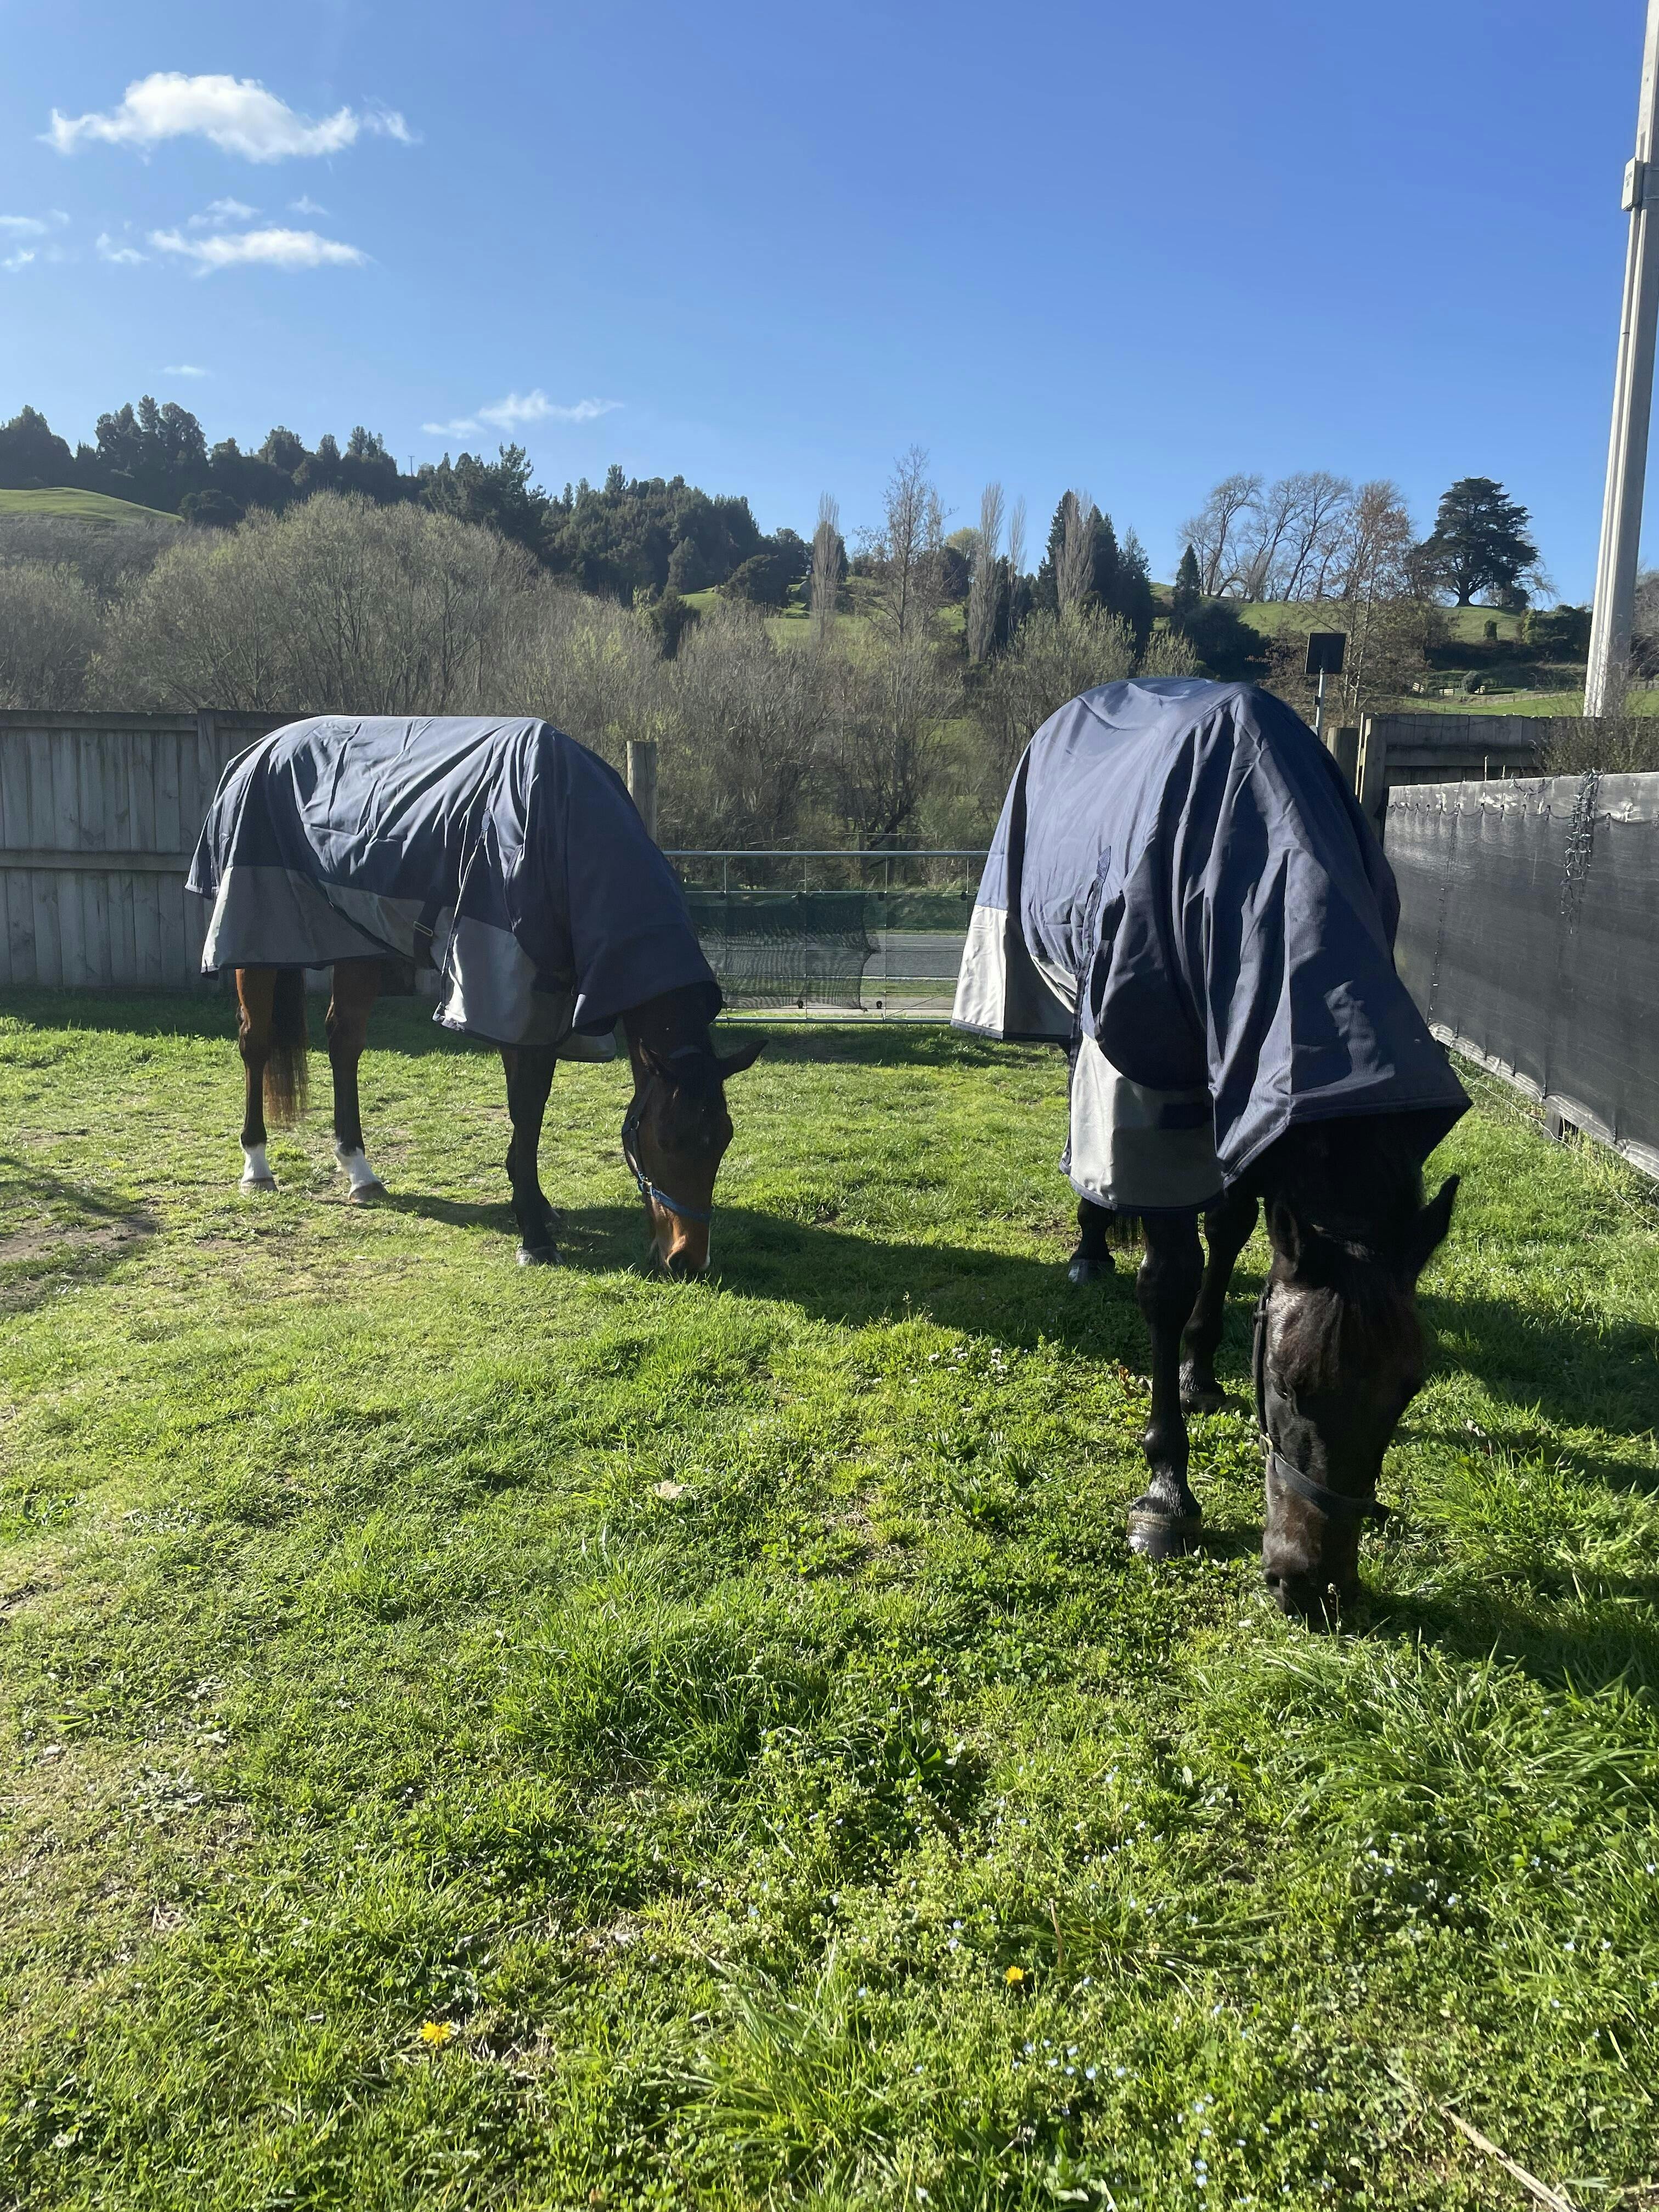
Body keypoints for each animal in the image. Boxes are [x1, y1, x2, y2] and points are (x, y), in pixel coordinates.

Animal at [189, 715, 763, 1275]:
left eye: (724, 1138)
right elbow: (526, 1114)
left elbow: (529, 1112)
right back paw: (257, 1167)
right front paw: (534, 1237)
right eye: (665, 1139)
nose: (686, 1259)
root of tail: (257, 750)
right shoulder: (508, 991)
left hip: (357, 943)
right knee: (256, 1042)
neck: (560, 826)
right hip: (256, 934)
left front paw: (537, 1207)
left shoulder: (543, 1006)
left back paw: (360, 1171)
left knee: (343, 1042)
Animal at [955, 678, 1468, 1622]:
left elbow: (1230, 1231)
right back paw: (1090, 1247)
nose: (1312, 1584)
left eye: (1407, 1389)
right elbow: (1168, 1277)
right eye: (1294, 1387)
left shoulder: (1253, 1084)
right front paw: (1166, 1489)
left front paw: (1200, 1366)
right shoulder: (1147, 1077)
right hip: (1073, 1014)